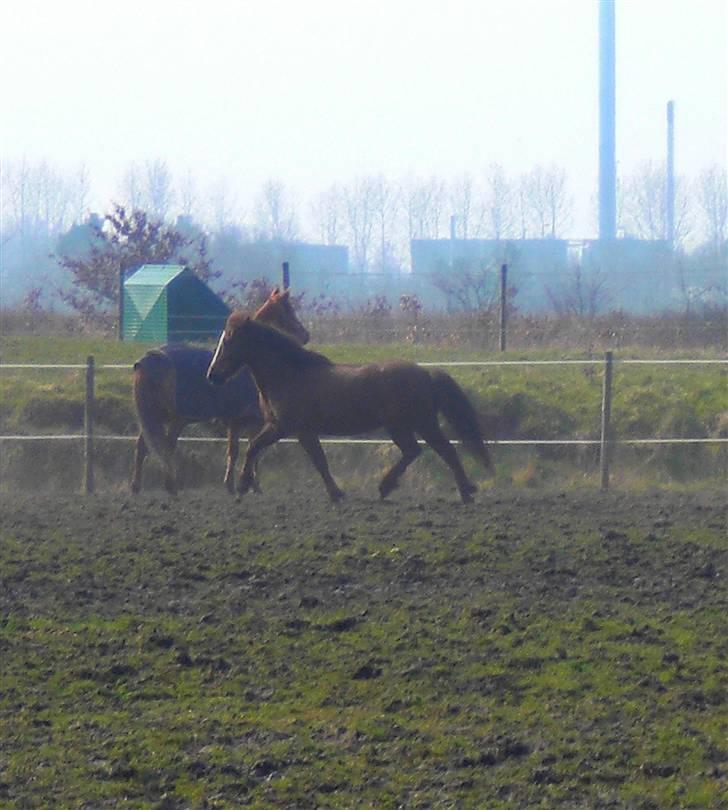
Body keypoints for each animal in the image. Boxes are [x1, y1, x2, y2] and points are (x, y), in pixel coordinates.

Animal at [131, 288, 308, 496]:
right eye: (287, 311)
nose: (305, 335)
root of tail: (150, 359)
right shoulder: (245, 422)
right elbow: (247, 451)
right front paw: (245, 485)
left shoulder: (238, 423)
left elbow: (240, 451)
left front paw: (239, 485)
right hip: (174, 419)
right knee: (164, 447)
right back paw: (169, 486)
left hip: (157, 416)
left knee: (145, 446)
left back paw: (139, 486)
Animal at [205, 314, 492, 498]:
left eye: (229, 340)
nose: (212, 375)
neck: (290, 374)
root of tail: (426, 373)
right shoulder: (279, 427)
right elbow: (256, 447)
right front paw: (245, 484)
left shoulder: (293, 429)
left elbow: (316, 461)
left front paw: (336, 493)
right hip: (409, 426)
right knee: (423, 451)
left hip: (415, 424)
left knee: (438, 451)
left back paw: (460, 491)